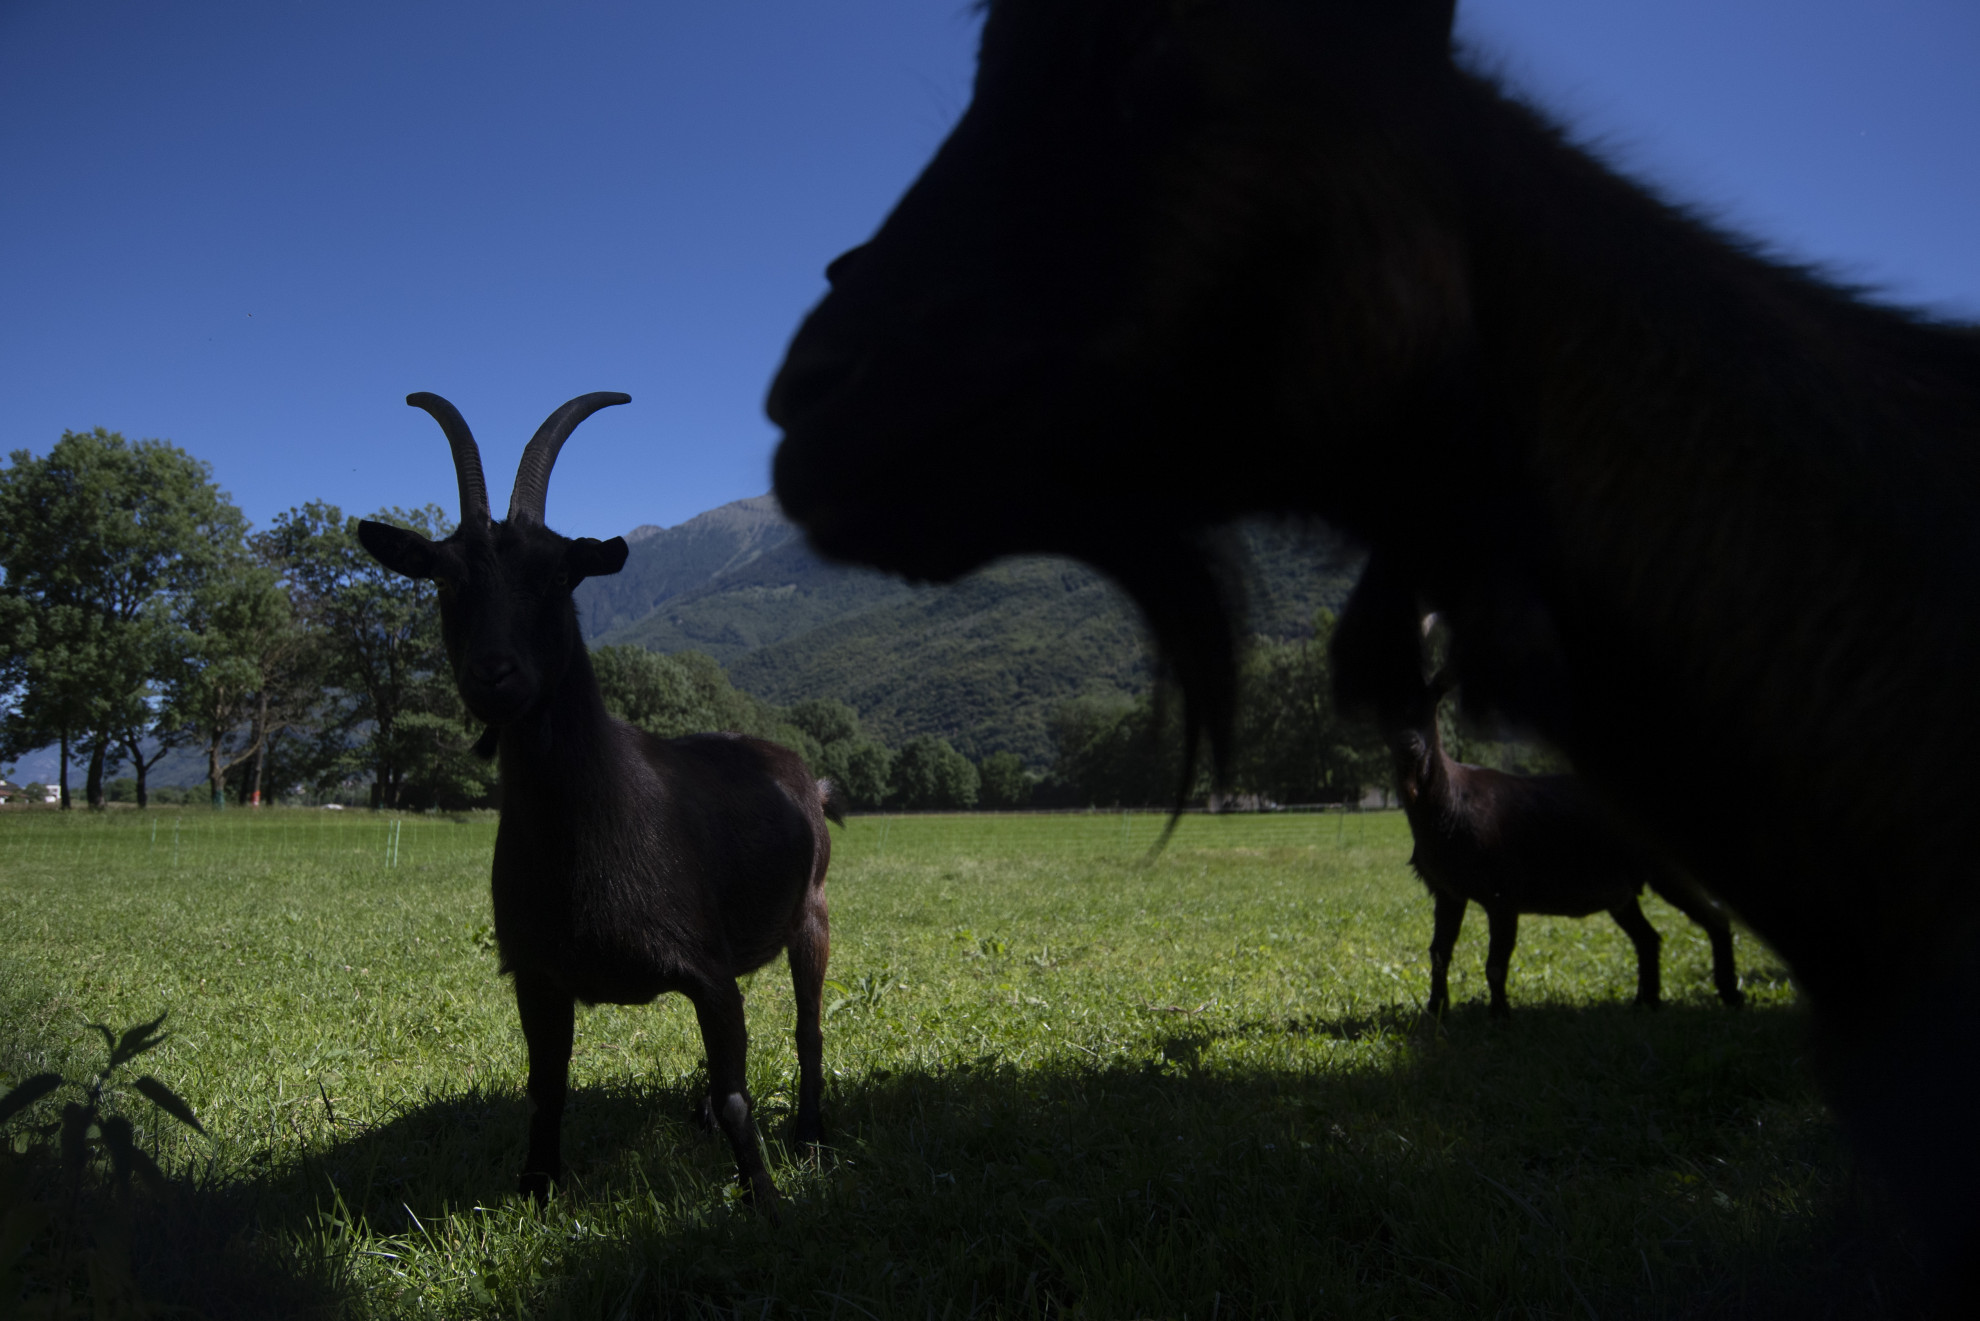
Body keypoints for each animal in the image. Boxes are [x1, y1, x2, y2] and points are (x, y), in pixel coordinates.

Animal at [360, 390, 839, 1212]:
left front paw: (764, 1200)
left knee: (808, 1028)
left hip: (811, 913)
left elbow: (739, 1090)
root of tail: (796, 769)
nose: (496, 673)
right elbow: (545, 1090)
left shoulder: (708, 973)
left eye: (559, 575)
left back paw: (807, 1135)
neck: (593, 826)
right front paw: (534, 1189)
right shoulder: (537, 976)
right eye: (445, 579)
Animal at [764, 0, 1980, 1283]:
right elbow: (1448, 962)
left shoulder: (1498, 889)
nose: (810, 388)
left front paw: (1489, 1022)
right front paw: (1450, 1023)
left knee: (1692, 923)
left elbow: (1489, 961)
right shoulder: (1459, 895)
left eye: (1144, 53)